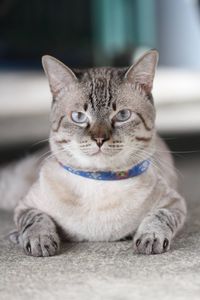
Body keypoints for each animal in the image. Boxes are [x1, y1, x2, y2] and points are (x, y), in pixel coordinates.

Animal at [1, 49, 188, 255]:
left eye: (122, 115)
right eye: (79, 117)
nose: (99, 139)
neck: (99, 180)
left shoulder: (174, 204)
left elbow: (159, 216)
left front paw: (151, 238)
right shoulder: (25, 206)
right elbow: (36, 219)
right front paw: (38, 241)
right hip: (14, 188)